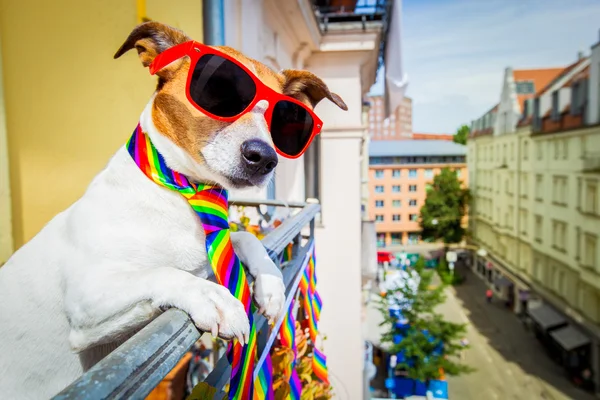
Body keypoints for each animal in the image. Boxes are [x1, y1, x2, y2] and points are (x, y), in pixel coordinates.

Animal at [0, 21, 346, 400]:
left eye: (284, 120)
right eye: (220, 92)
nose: (265, 158)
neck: (181, 192)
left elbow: (242, 238)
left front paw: (270, 283)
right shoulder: (86, 299)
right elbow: (161, 272)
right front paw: (214, 298)